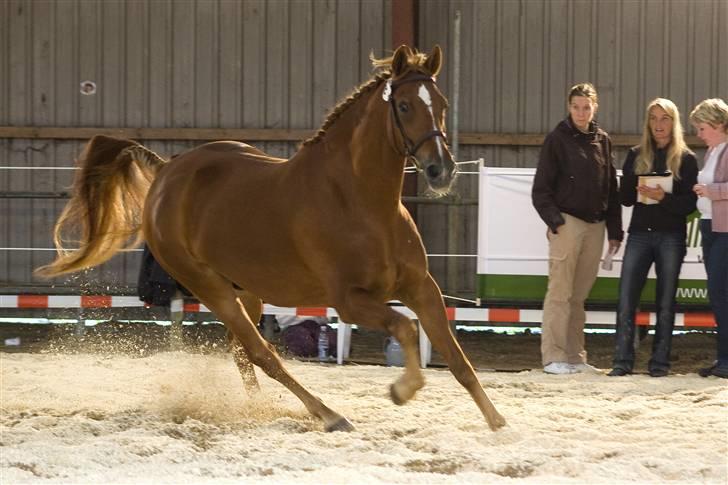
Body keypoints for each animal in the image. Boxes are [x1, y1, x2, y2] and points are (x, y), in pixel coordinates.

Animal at [38, 46, 506, 432]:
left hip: (247, 291)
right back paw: (329, 415)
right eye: (405, 105)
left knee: (242, 350)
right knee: (263, 352)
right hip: (211, 288)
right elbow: (405, 328)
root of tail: (167, 171)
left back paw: (261, 408)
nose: (441, 171)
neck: (361, 200)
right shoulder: (350, 300)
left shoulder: (421, 287)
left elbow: (456, 358)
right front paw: (402, 390)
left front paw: (498, 422)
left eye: (442, 105)